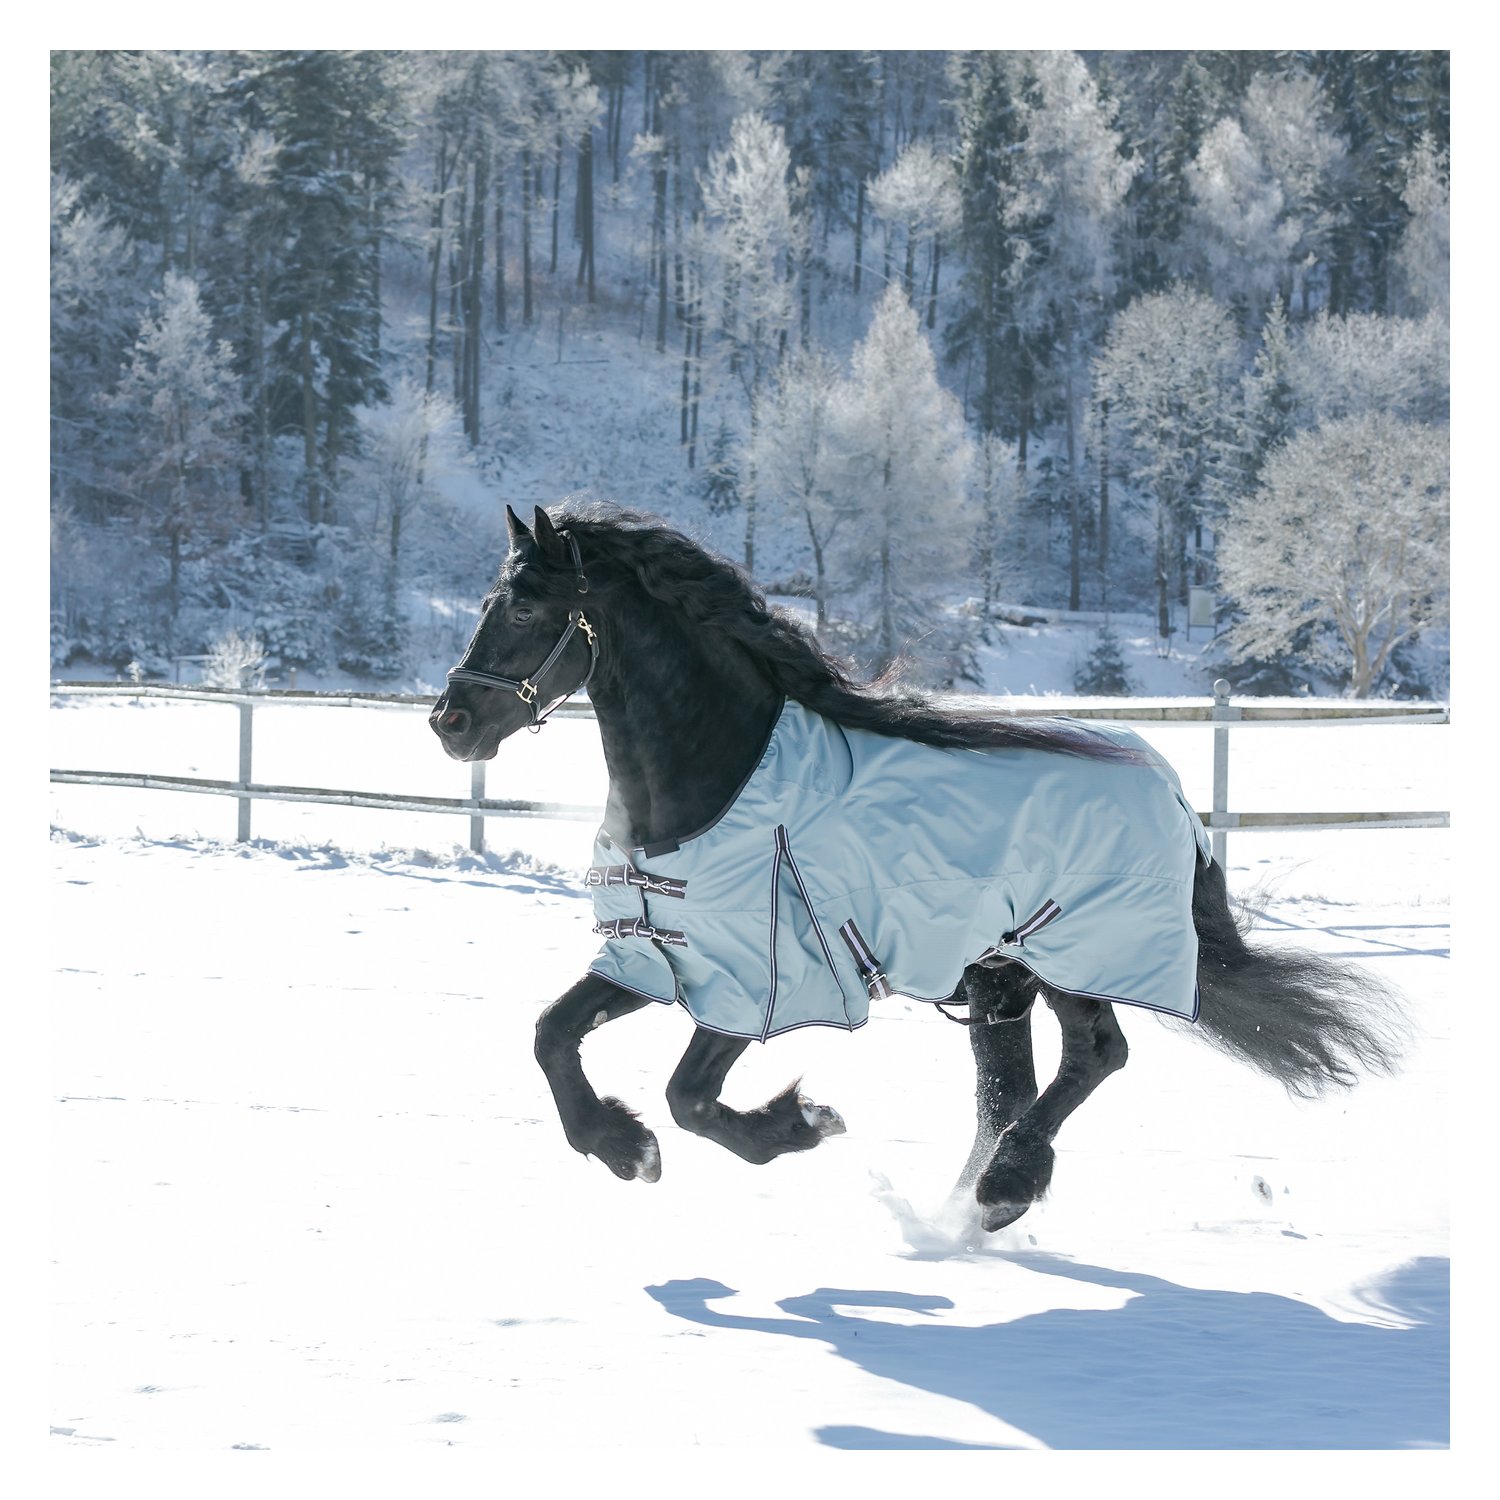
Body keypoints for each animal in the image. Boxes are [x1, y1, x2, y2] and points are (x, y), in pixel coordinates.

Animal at [429, 501, 1405, 1232]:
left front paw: (798, 1125)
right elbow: (553, 1034)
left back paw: (1004, 1191)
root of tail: (1172, 792)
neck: (718, 777)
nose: (450, 722)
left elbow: (688, 1098)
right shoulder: (658, 954)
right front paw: (621, 1147)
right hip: (1002, 977)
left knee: (1095, 1055)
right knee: (1009, 1088)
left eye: (523, 609)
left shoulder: (763, 978)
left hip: (1071, 958)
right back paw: (967, 1208)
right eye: (490, 600)